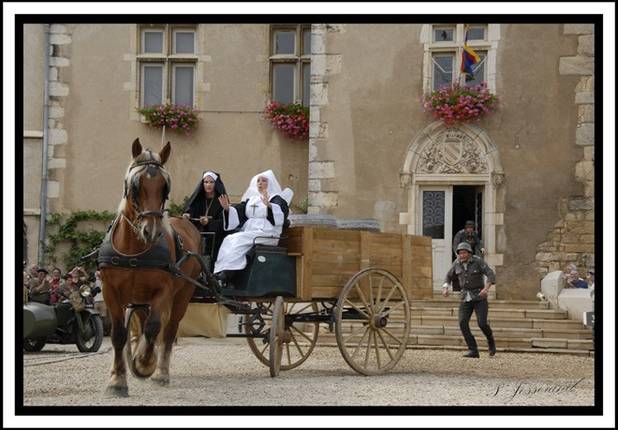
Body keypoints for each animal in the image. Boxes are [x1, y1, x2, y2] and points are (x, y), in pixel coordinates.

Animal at [100, 138, 199, 396]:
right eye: (135, 185)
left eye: (165, 187)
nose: (151, 231)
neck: (134, 250)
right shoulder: (110, 292)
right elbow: (119, 334)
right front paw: (118, 380)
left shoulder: (163, 291)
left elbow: (154, 328)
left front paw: (145, 363)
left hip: (183, 293)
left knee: (169, 329)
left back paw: (161, 371)